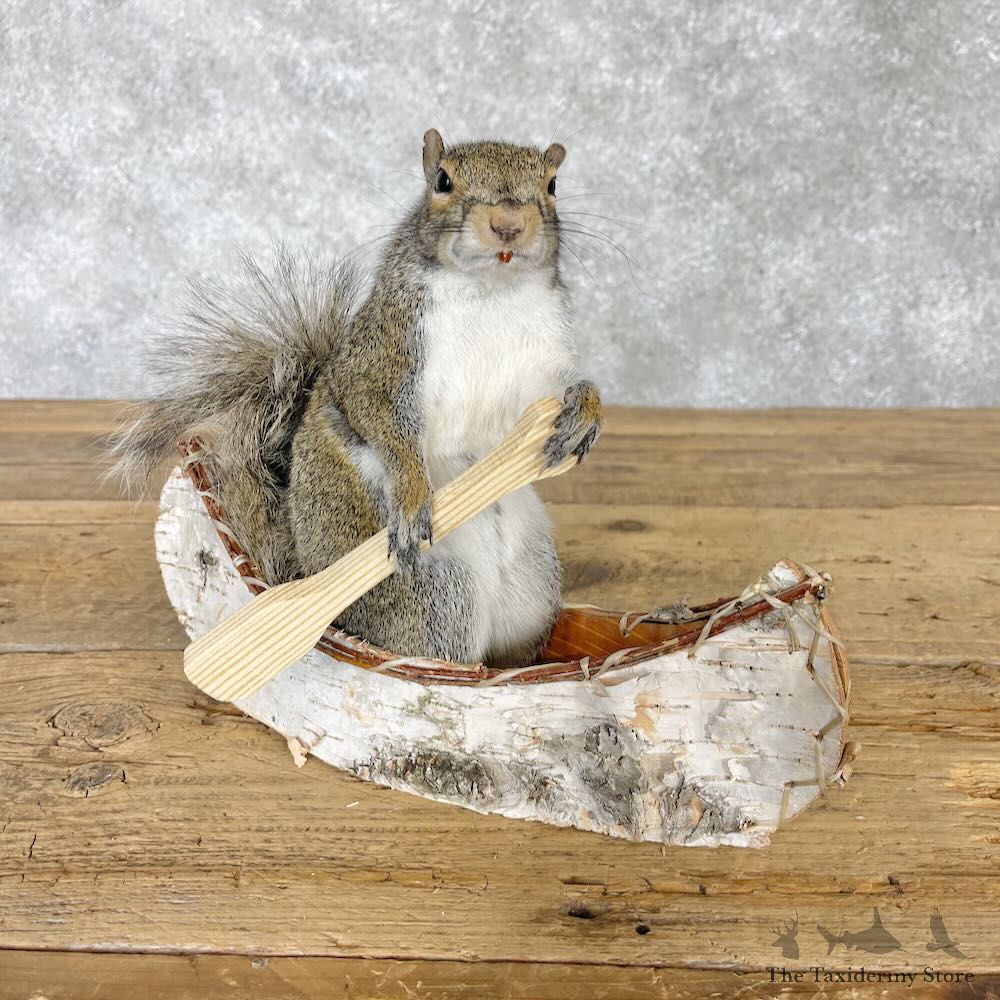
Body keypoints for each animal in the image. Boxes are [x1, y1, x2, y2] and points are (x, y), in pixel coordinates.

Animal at [111, 129, 603, 668]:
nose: (508, 226)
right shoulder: (382, 359)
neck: (491, 292)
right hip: (432, 593)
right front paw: (411, 496)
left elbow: (552, 392)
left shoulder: (539, 361)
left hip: (532, 580)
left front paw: (585, 410)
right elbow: (381, 419)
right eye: (442, 180)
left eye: (553, 184)